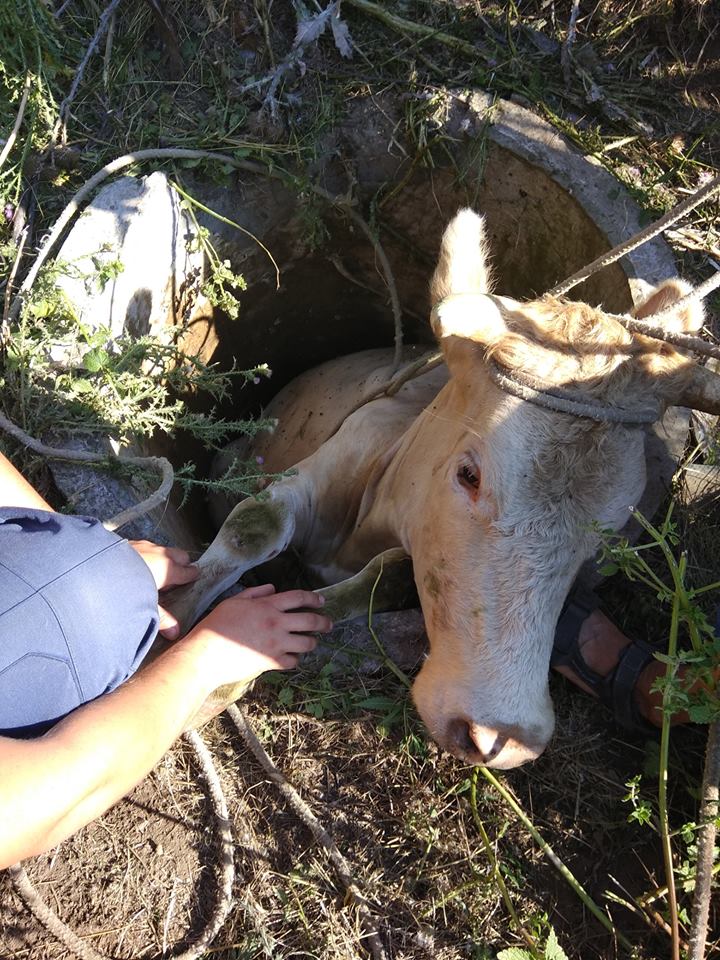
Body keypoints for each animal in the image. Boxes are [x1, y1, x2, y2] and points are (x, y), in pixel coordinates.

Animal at [166, 210, 716, 772]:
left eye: (608, 531)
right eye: (469, 475)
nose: (501, 737)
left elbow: (381, 580)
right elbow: (257, 524)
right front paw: (182, 622)